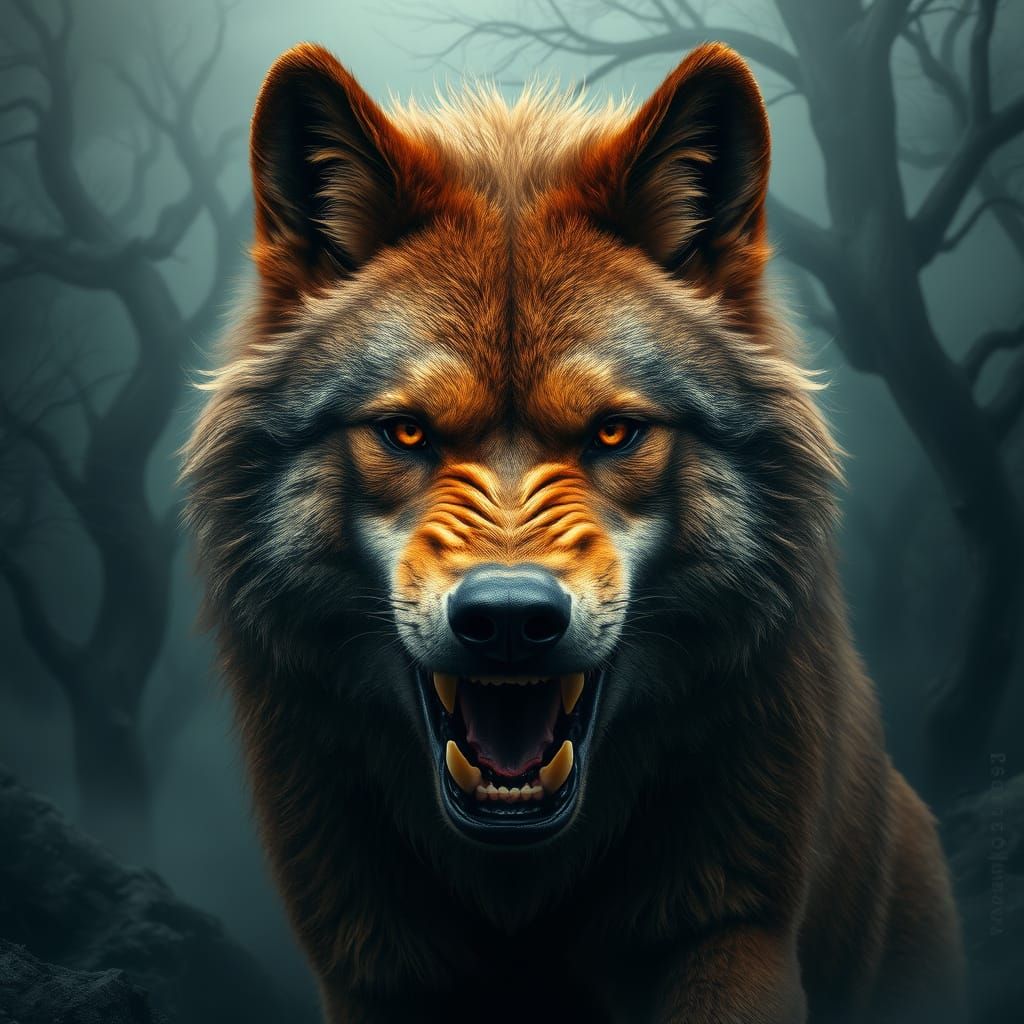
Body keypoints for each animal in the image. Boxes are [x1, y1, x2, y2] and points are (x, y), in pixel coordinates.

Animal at [183, 41, 966, 1024]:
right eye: (406, 432)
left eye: (614, 432)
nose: (510, 619)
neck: (524, 886)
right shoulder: (375, 968)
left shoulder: (728, 930)